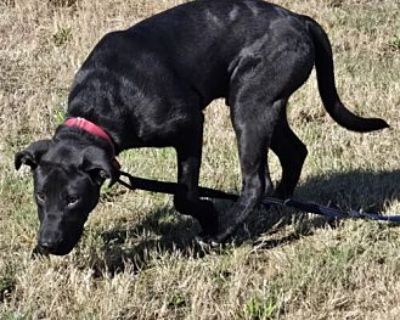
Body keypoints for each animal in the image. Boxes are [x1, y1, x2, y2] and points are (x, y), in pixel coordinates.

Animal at [14, 0, 388, 255]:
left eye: (74, 199)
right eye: (40, 195)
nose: (47, 245)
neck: (103, 99)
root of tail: (299, 19)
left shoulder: (190, 127)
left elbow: (183, 195)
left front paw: (207, 216)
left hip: (248, 106)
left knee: (256, 181)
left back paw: (222, 235)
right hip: (265, 103)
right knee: (294, 152)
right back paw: (278, 206)